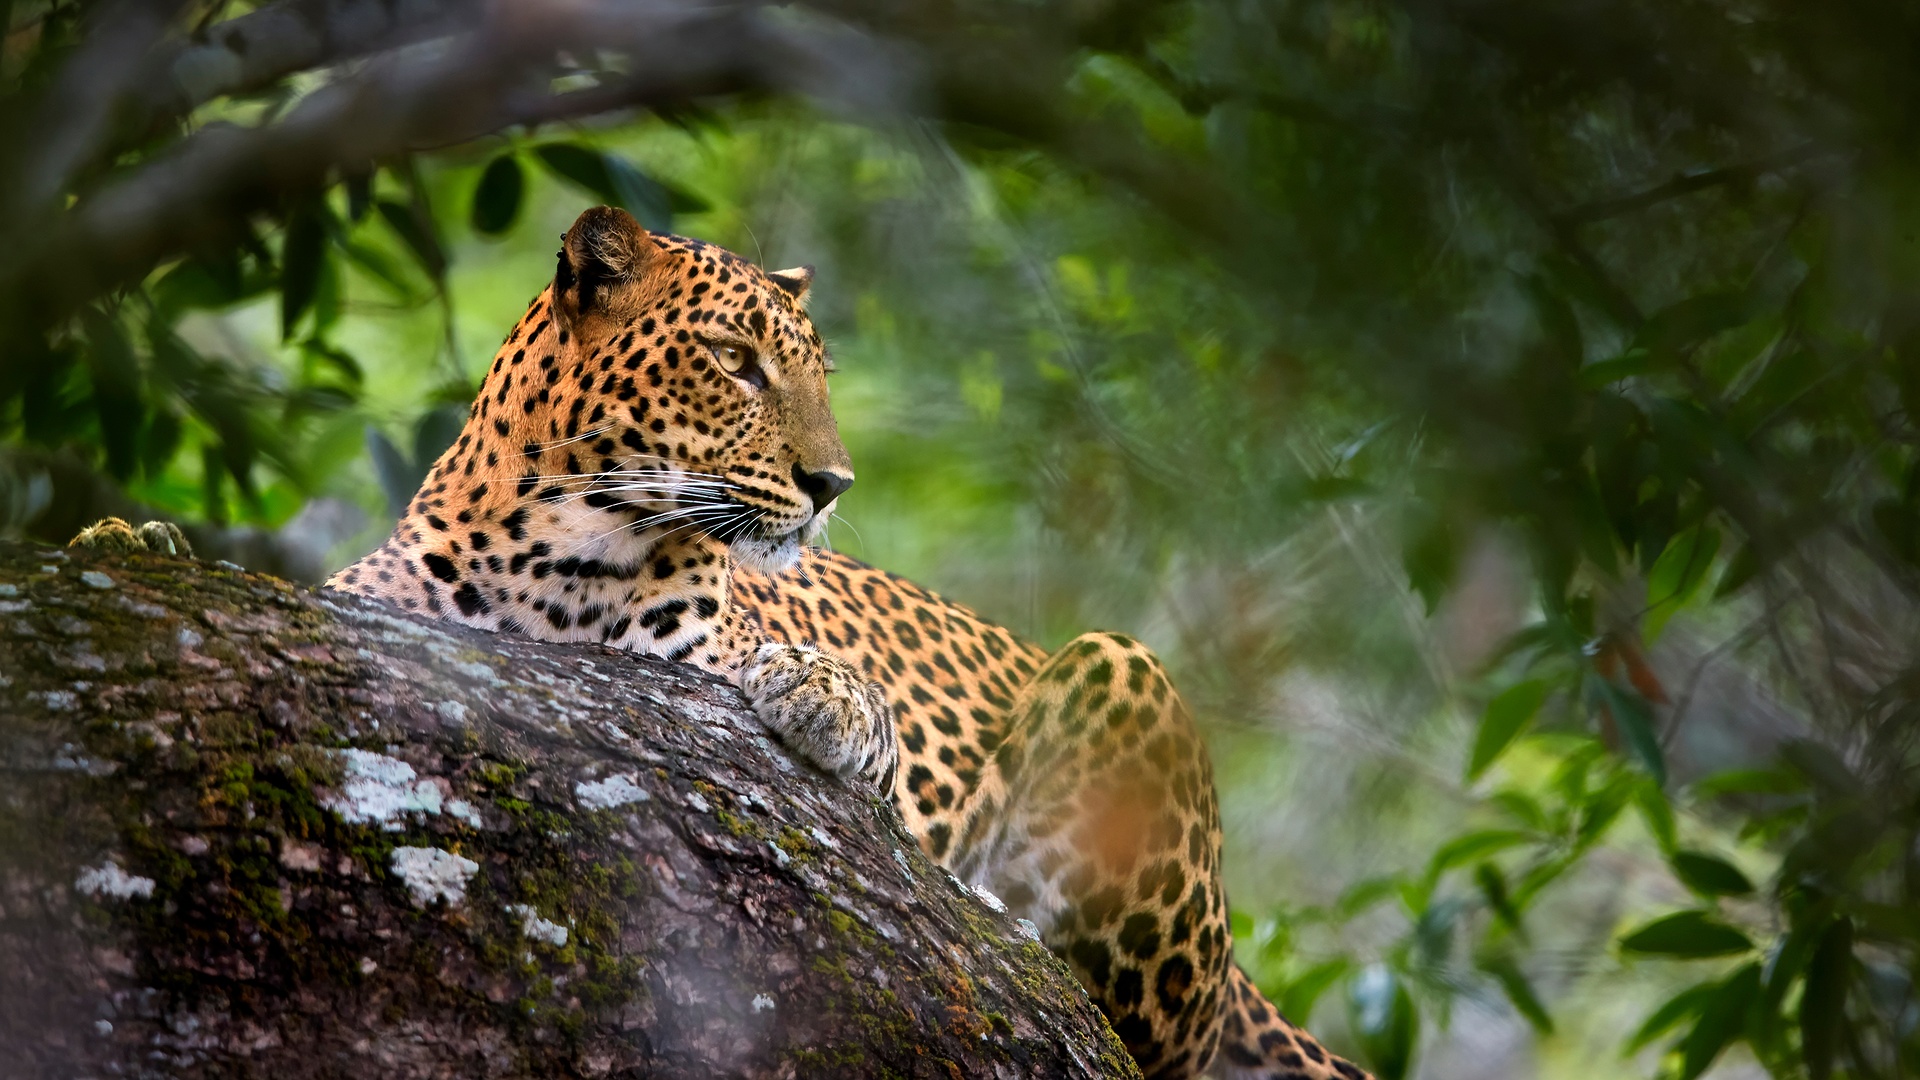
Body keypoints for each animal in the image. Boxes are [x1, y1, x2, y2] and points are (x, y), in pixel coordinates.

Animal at [78, 206, 1370, 1080]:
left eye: (814, 375)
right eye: (735, 361)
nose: (832, 484)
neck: (549, 547)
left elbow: (777, 672)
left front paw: (828, 697)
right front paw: (130, 532)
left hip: (1123, 675)